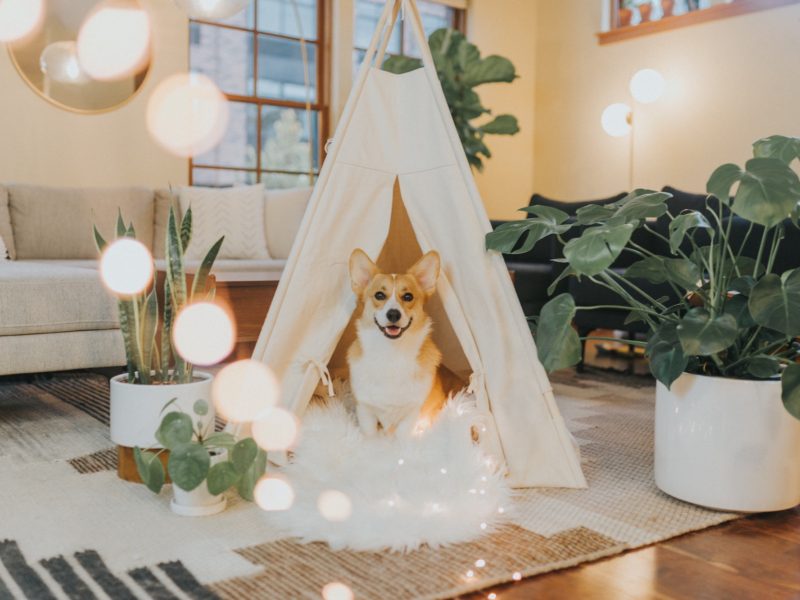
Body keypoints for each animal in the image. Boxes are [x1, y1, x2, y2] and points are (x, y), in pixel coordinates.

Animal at [348, 248, 446, 436]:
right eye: (379, 295)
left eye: (408, 296)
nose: (393, 314)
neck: (391, 353)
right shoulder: (365, 409)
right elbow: (369, 436)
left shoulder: (411, 413)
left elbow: (402, 438)